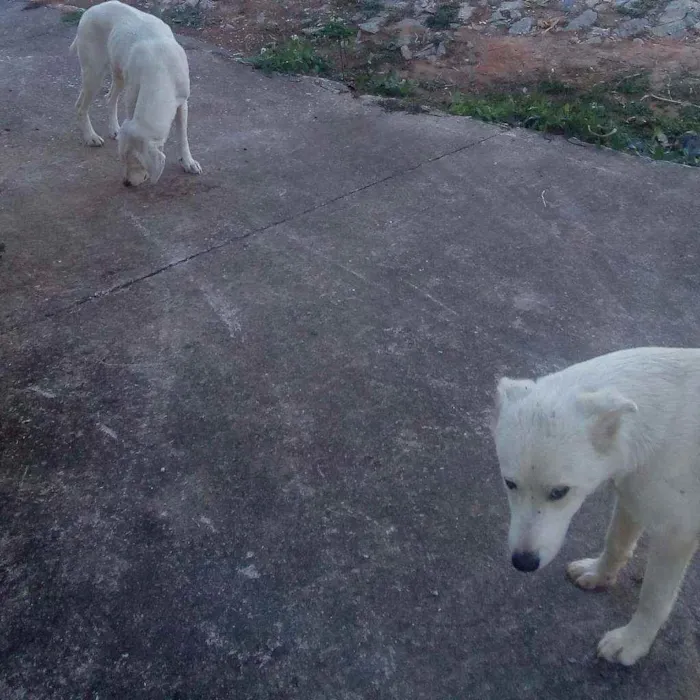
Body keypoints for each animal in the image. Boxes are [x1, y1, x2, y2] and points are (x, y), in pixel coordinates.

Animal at [69, 0, 201, 186]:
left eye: (137, 162)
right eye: (122, 159)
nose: (126, 183)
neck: (160, 68)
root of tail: (91, 9)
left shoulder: (182, 103)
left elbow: (183, 136)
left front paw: (188, 162)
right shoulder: (132, 102)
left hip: (119, 75)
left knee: (110, 98)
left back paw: (114, 129)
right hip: (94, 74)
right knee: (81, 106)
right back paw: (90, 137)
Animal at [492, 348, 700, 664]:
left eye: (559, 492)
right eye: (510, 483)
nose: (523, 563)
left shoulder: (676, 533)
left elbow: (653, 597)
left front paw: (632, 641)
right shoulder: (630, 494)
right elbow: (616, 542)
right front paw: (600, 574)